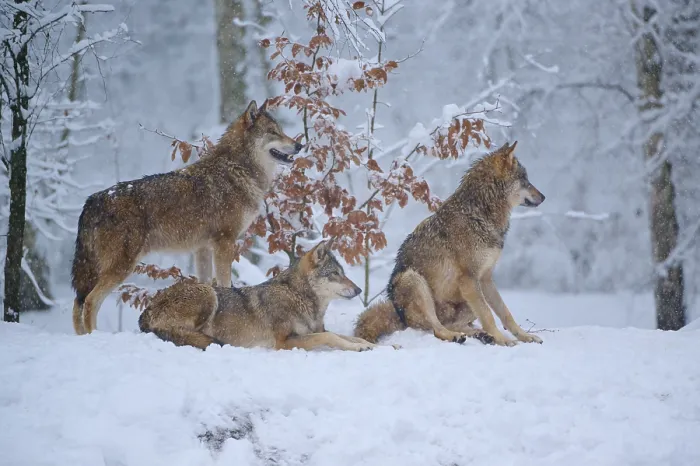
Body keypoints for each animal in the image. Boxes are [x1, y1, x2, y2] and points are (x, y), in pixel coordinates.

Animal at [71, 100, 301, 335]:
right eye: (273, 132)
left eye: (281, 130)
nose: (299, 146)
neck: (237, 170)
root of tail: (92, 200)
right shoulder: (224, 242)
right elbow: (224, 284)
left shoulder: (202, 249)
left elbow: (206, 284)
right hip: (122, 266)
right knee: (89, 301)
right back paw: (94, 335)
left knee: (77, 303)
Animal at [139, 240, 392, 352]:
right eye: (335, 274)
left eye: (343, 273)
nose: (359, 290)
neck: (298, 296)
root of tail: (147, 309)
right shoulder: (284, 341)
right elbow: (331, 337)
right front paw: (360, 348)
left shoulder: (314, 330)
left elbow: (349, 337)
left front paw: (379, 346)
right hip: (208, 293)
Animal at [354, 141, 546, 347]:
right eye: (524, 179)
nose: (543, 197)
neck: (480, 213)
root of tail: (399, 317)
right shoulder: (469, 279)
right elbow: (488, 315)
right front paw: (503, 340)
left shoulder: (485, 278)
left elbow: (505, 313)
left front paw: (524, 336)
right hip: (415, 280)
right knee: (437, 329)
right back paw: (460, 336)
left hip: (468, 298)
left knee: (455, 325)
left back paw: (481, 335)